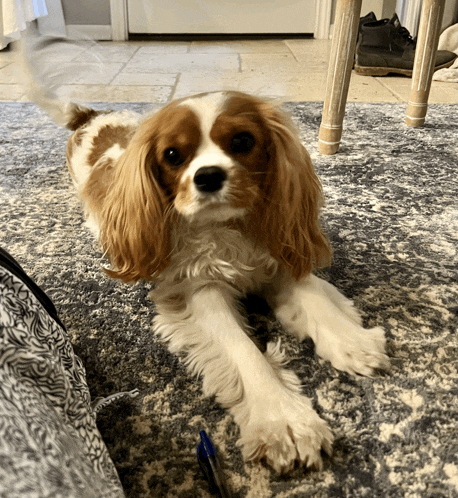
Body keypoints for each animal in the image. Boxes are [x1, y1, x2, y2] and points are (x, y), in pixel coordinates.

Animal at [23, 47, 388, 474]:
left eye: (243, 141)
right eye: (172, 155)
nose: (209, 175)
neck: (225, 229)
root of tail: (90, 118)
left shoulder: (277, 254)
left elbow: (314, 296)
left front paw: (351, 340)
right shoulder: (198, 291)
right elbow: (244, 352)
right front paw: (284, 420)